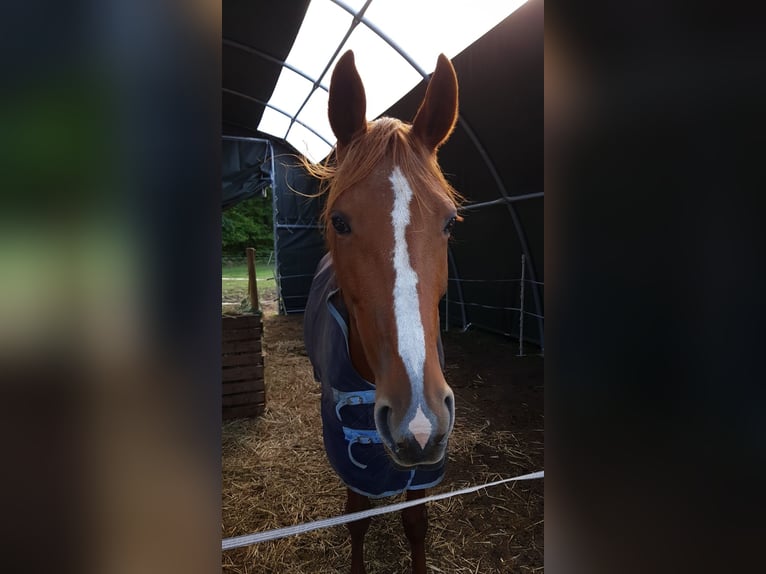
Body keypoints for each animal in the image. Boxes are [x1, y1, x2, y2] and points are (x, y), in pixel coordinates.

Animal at [306, 50, 462, 574]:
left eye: (449, 222)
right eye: (339, 221)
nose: (418, 420)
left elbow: (415, 523)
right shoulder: (351, 456)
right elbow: (357, 520)